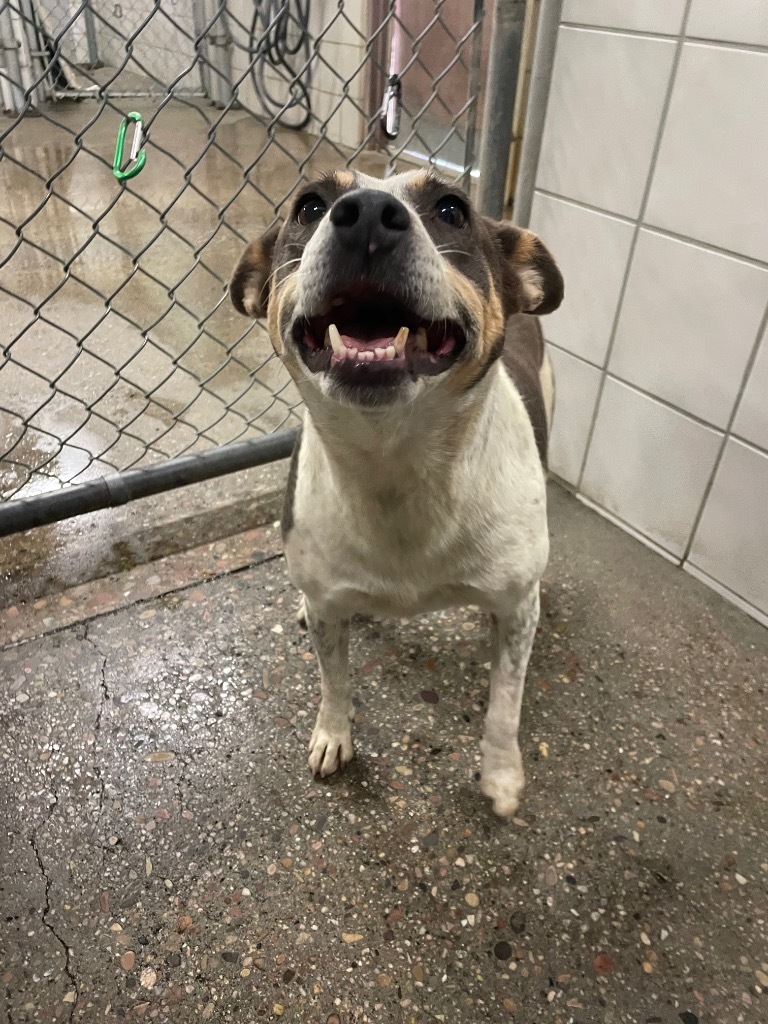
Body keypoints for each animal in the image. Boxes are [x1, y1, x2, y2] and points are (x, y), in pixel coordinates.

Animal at [231, 172, 561, 819]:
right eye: (309, 206)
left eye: (452, 209)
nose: (365, 214)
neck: (395, 463)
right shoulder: (330, 606)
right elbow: (334, 680)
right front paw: (334, 735)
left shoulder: (516, 610)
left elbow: (505, 703)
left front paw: (501, 774)